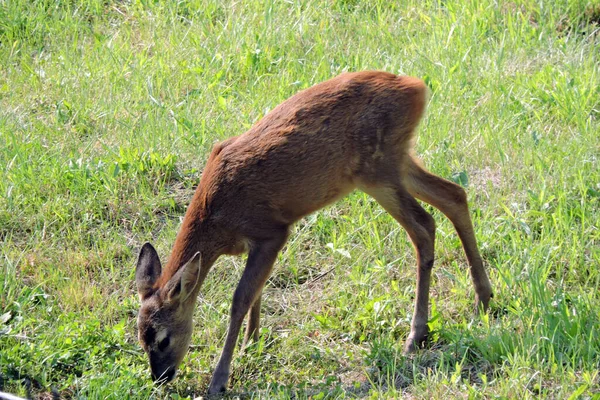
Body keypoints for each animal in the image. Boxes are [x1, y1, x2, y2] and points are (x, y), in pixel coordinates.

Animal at [135, 70, 492, 392]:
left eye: (163, 339)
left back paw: (416, 335)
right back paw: (484, 298)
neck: (216, 219)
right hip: (399, 161)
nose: (160, 378)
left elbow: (240, 299)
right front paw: (252, 343)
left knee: (424, 226)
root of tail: (416, 88)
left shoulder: (272, 230)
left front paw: (219, 379)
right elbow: (257, 292)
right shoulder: (257, 243)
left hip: (378, 170)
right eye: (140, 337)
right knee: (454, 195)